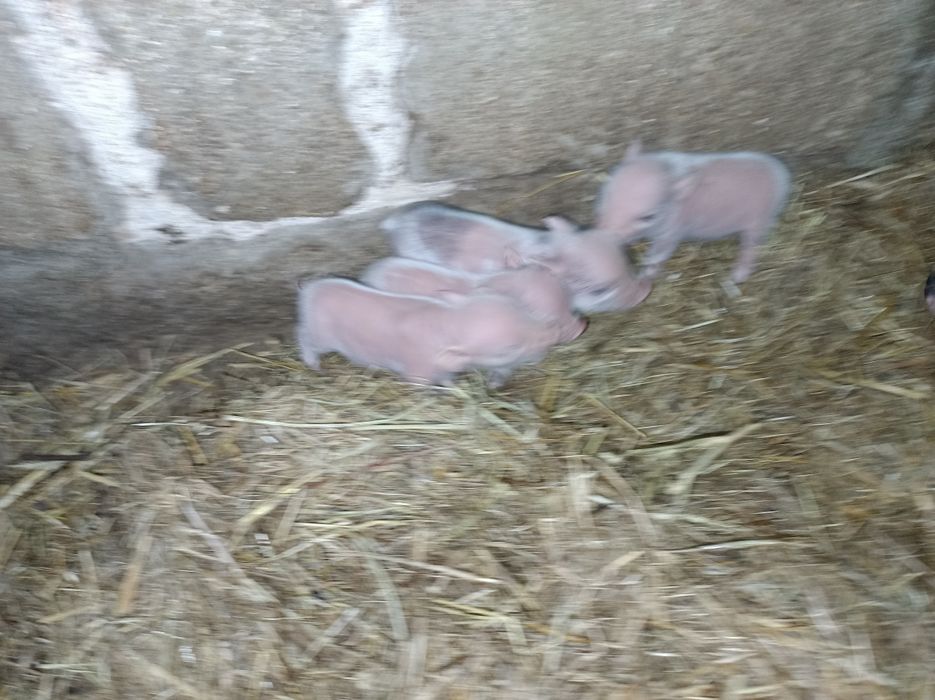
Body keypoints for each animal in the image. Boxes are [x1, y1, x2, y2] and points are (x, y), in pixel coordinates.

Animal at [296, 278, 585, 388]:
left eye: (519, 307)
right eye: (508, 349)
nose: (552, 331)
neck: (451, 322)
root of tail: (310, 288)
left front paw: (453, 388)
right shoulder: (417, 371)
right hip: (319, 335)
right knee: (304, 339)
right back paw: (315, 366)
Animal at [592, 140, 791, 283]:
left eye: (649, 216)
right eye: (607, 193)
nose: (605, 236)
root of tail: (780, 173)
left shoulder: (673, 230)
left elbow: (659, 254)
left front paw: (644, 274)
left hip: (760, 220)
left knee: (751, 247)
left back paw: (737, 277)